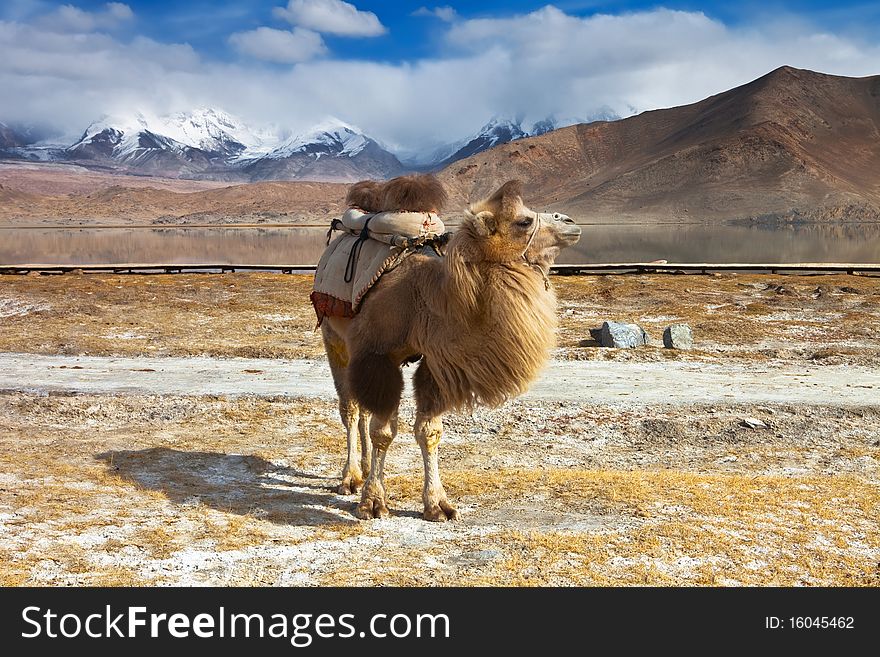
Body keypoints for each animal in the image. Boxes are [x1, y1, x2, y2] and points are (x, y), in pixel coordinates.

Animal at [320, 177, 580, 520]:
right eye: (524, 221)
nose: (571, 223)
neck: (428, 300)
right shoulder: (378, 355)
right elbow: (383, 432)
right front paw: (373, 503)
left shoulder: (434, 364)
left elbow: (429, 431)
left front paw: (438, 504)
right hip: (334, 337)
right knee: (349, 408)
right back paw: (350, 478)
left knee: (361, 408)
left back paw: (362, 470)